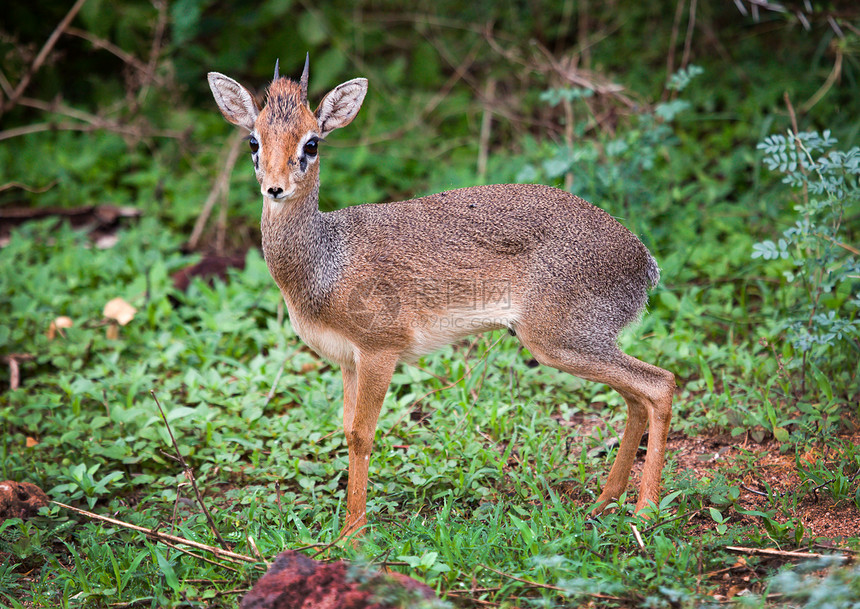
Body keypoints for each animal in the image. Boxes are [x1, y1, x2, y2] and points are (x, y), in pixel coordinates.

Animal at [207, 54, 672, 536]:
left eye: (312, 143)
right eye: (253, 141)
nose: (274, 187)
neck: (325, 261)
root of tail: (644, 260)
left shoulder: (380, 351)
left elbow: (363, 435)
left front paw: (352, 535)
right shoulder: (348, 360)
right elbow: (347, 432)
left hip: (560, 342)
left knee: (660, 384)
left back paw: (645, 511)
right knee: (636, 398)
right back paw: (605, 502)